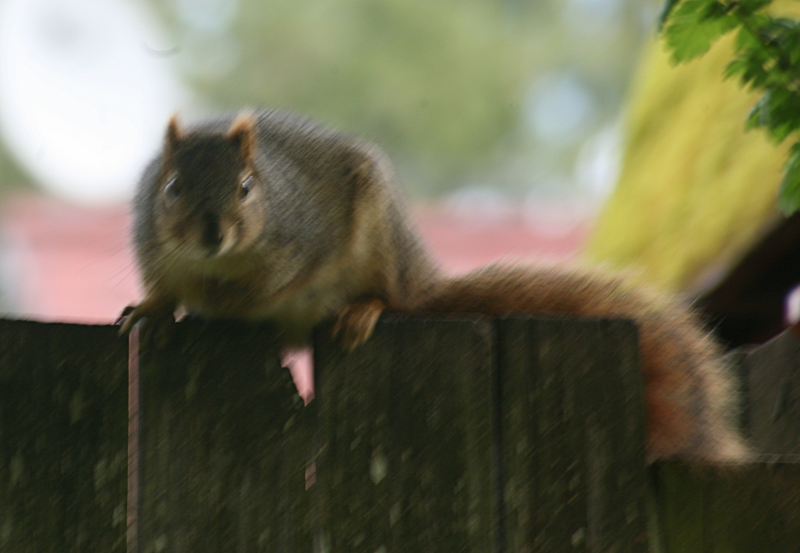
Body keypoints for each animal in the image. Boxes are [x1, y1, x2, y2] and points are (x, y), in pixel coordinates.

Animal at [119, 108, 750, 465]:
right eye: (172, 187)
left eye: (248, 187)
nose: (211, 232)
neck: (219, 263)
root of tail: (420, 275)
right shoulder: (158, 252)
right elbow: (164, 288)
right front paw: (155, 312)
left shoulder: (300, 243)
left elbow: (276, 282)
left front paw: (228, 300)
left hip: (380, 244)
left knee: (390, 298)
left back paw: (364, 310)